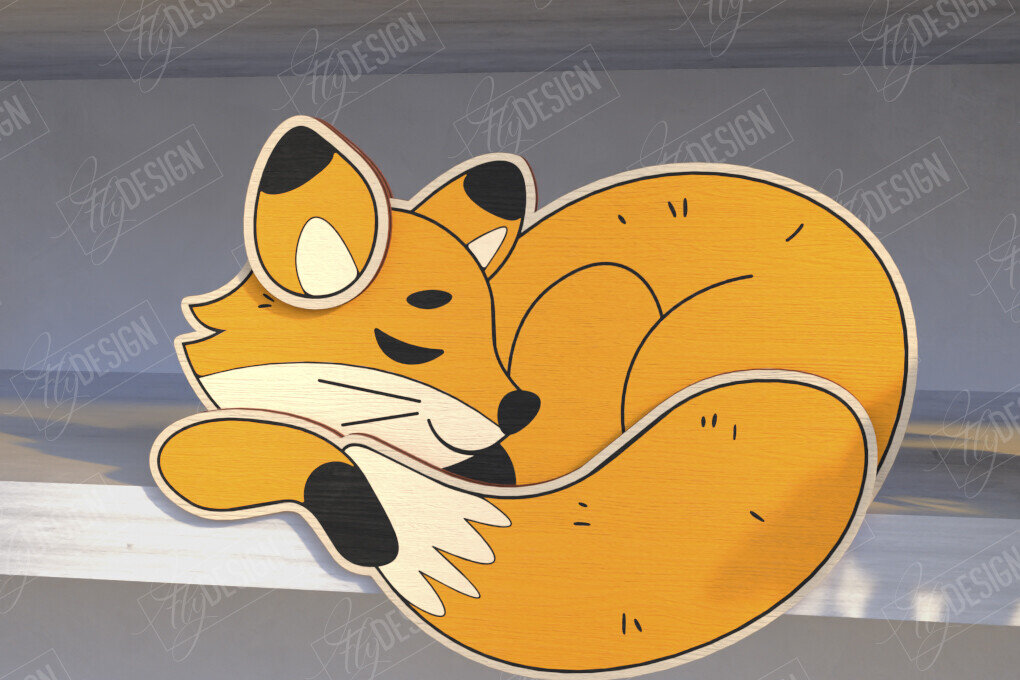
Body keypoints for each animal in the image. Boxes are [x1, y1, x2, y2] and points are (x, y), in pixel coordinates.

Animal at [151, 116, 916, 678]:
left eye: (495, 335)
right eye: (410, 342)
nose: (520, 408)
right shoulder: (210, 442)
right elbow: (227, 446)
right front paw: (366, 512)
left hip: (608, 288)